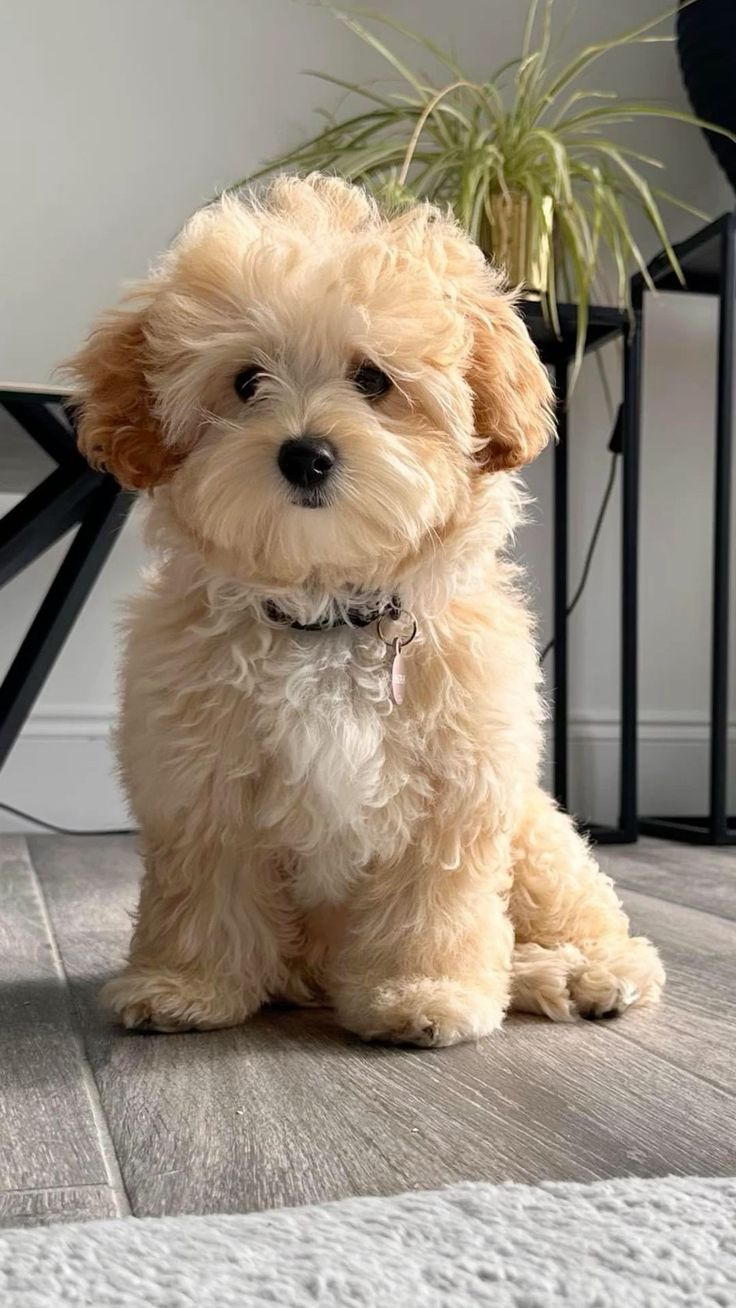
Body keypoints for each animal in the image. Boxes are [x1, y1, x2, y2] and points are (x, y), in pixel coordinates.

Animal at [69, 176, 664, 1051]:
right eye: (245, 382)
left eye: (374, 379)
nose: (306, 454)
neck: (329, 614)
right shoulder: (202, 786)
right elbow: (204, 892)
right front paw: (187, 986)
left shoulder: (456, 787)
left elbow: (434, 903)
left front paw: (424, 992)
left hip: (535, 835)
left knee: (581, 916)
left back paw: (584, 973)